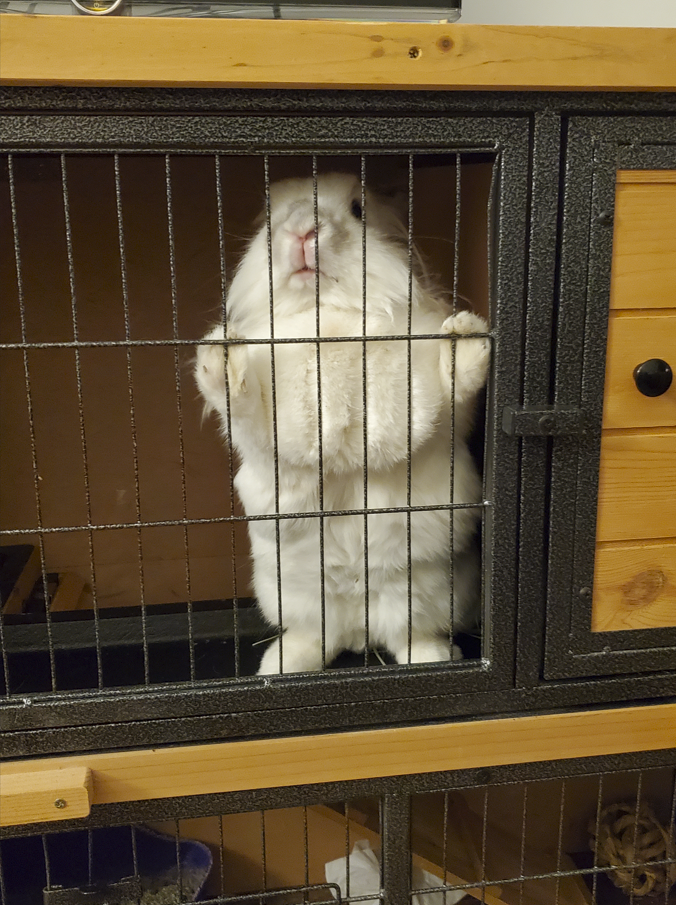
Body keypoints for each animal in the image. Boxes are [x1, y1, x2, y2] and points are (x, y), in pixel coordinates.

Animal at [195, 172, 490, 675]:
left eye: (357, 208)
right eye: (271, 214)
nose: (301, 232)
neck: (325, 315)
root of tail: (357, 629)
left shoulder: (425, 392)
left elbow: (449, 385)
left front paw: (466, 334)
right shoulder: (264, 424)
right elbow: (244, 405)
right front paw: (219, 352)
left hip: (428, 593)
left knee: (411, 635)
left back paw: (433, 658)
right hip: (291, 596)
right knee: (315, 637)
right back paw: (277, 665)